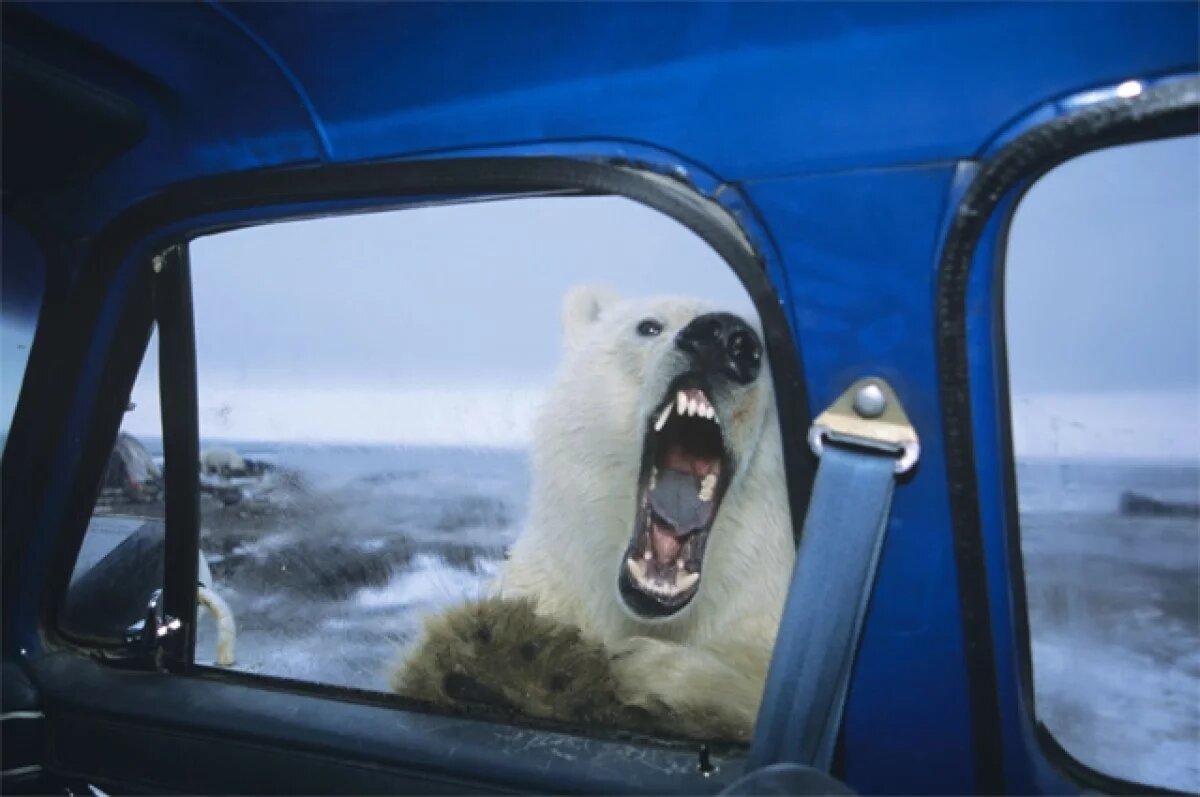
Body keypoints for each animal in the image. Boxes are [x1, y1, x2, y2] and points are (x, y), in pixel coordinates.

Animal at [391, 285, 796, 742]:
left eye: (769, 351)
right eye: (648, 326)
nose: (725, 337)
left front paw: (650, 675)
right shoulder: (554, 584)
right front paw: (509, 656)